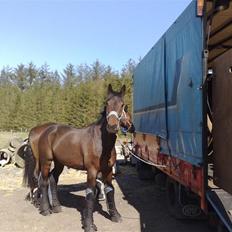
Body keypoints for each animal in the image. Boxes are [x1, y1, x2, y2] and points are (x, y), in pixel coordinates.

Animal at [23, 84, 133, 232]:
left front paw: (115, 215)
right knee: (43, 181)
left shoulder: (108, 170)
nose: (112, 126)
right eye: (107, 103)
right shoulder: (92, 170)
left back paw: (56, 207)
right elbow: (90, 193)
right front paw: (89, 224)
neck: (101, 142)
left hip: (59, 163)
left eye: (122, 104)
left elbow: (110, 189)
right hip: (46, 161)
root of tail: (45, 130)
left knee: (52, 179)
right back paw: (45, 210)